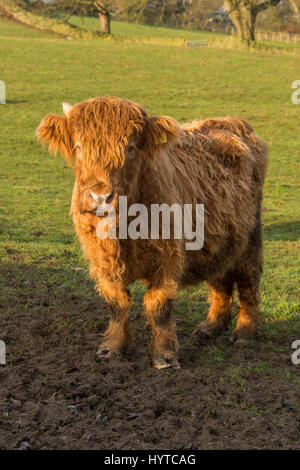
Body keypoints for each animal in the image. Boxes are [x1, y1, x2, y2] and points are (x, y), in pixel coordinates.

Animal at [37, 97, 268, 370]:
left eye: (131, 148)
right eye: (79, 146)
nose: (100, 197)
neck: (122, 232)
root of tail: (233, 123)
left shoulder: (167, 260)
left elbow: (158, 306)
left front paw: (164, 355)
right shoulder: (103, 263)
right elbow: (117, 304)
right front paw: (112, 347)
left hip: (250, 238)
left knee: (248, 283)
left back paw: (244, 333)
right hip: (218, 239)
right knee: (220, 281)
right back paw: (210, 327)